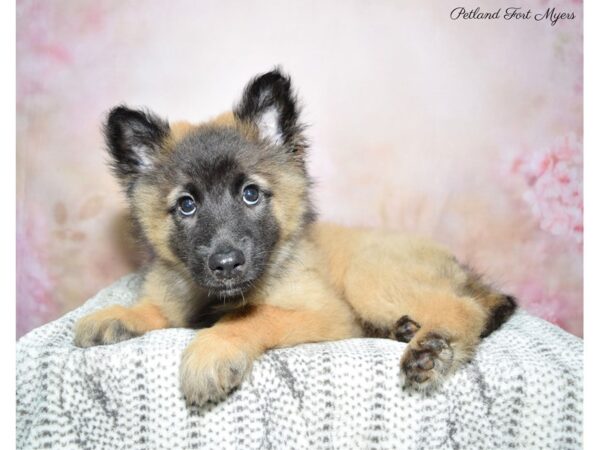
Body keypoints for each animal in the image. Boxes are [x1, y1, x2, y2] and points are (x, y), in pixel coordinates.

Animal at [74, 68, 516, 406]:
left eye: (250, 194)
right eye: (186, 205)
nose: (226, 264)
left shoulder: (327, 313)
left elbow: (251, 315)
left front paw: (213, 347)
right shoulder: (177, 298)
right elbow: (156, 309)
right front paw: (117, 315)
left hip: (368, 275)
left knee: (464, 308)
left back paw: (432, 348)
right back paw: (407, 330)